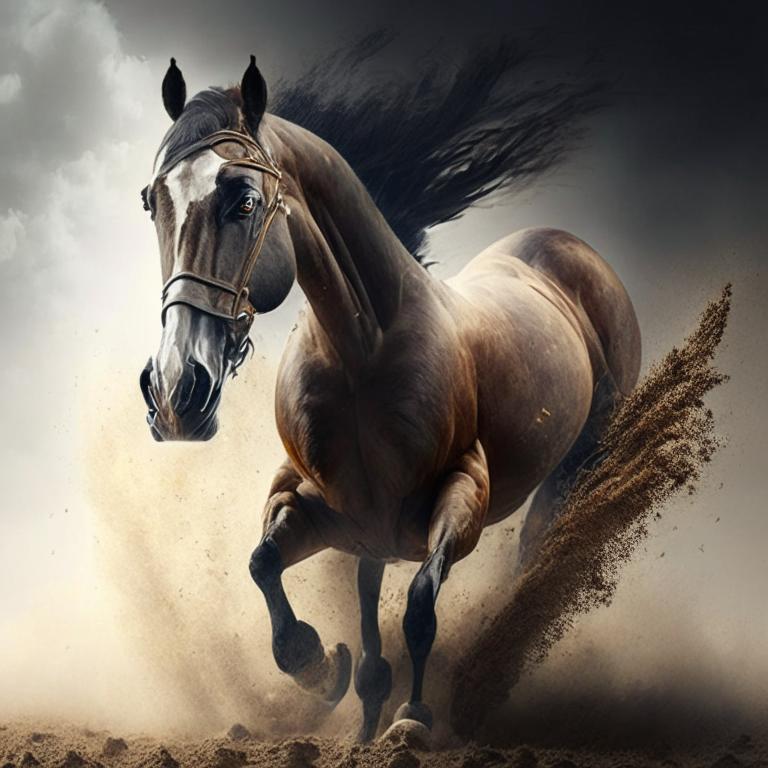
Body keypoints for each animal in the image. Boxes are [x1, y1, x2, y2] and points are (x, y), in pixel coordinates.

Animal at [139, 55, 641, 741]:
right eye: (151, 202)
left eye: (243, 199)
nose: (174, 393)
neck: (363, 351)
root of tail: (571, 246)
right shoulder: (325, 509)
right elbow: (264, 565)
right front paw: (321, 667)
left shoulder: (461, 496)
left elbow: (420, 608)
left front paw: (412, 718)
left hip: (580, 460)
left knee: (534, 548)